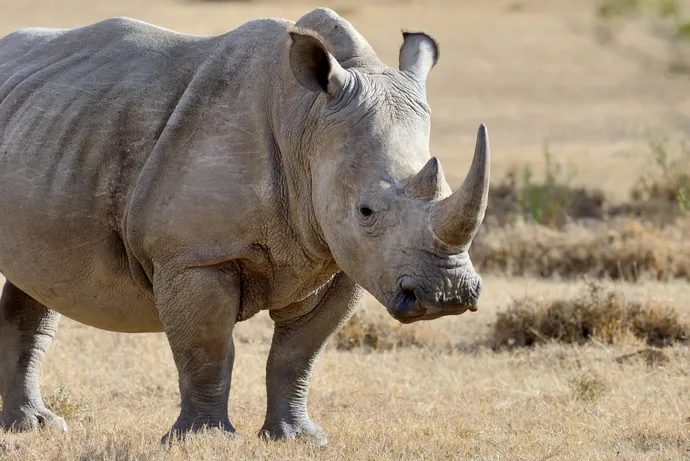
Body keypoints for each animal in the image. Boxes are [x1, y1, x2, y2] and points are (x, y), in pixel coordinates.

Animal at [0, 8, 490, 444]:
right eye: (365, 211)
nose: (447, 295)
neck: (307, 122)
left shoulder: (342, 261)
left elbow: (298, 353)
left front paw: (299, 440)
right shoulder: (196, 256)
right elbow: (208, 350)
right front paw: (204, 440)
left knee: (35, 282)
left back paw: (34, 427)